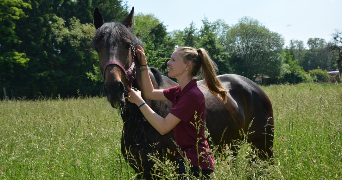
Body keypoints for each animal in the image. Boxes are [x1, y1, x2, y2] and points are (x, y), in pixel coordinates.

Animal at [91, 6, 276, 179]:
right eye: (97, 48)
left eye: (127, 45)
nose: (114, 88)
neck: (141, 122)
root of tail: (252, 86)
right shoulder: (141, 171)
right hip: (232, 148)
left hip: (263, 148)